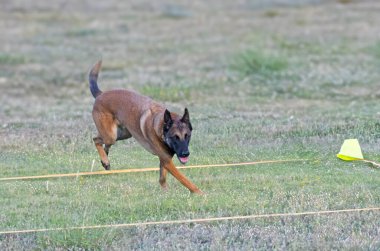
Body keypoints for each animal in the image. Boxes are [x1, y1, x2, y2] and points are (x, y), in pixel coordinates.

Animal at [88, 60, 202, 194]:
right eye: (175, 137)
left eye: (187, 136)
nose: (185, 153)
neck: (160, 127)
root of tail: (101, 94)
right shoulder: (167, 160)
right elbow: (184, 179)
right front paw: (199, 192)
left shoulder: (165, 159)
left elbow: (162, 178)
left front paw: (165, 192)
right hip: (111, 135)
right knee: (96, 139)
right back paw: (105, 160)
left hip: (122, 134)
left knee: (102, 142)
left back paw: (105, 159)